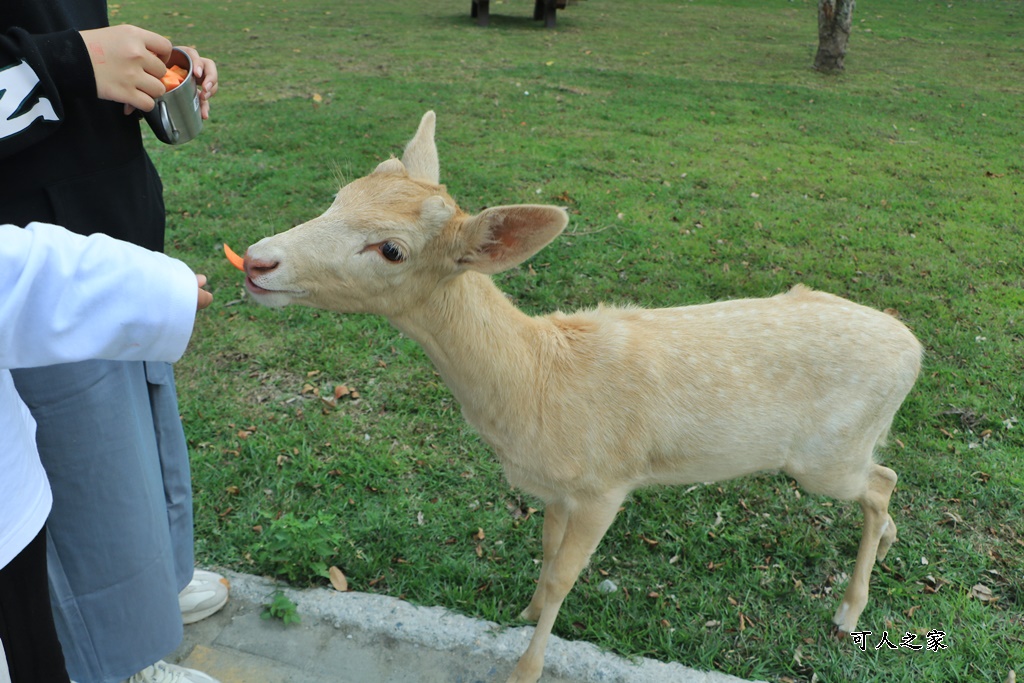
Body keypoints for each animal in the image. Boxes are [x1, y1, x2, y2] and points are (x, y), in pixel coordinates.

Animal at [243, 112, 925, 683]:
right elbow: (546, 561)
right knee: (885, 480)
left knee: (882, 480)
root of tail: (915, 350)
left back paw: (848, 610)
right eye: (339, 196)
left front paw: (524, 669)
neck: (536, 388)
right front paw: (522, 612)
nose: (256, 260)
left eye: (391, 249)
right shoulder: (555, 489)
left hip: (826, 455)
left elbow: (566, 577)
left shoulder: (607, 482)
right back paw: (887, 546)